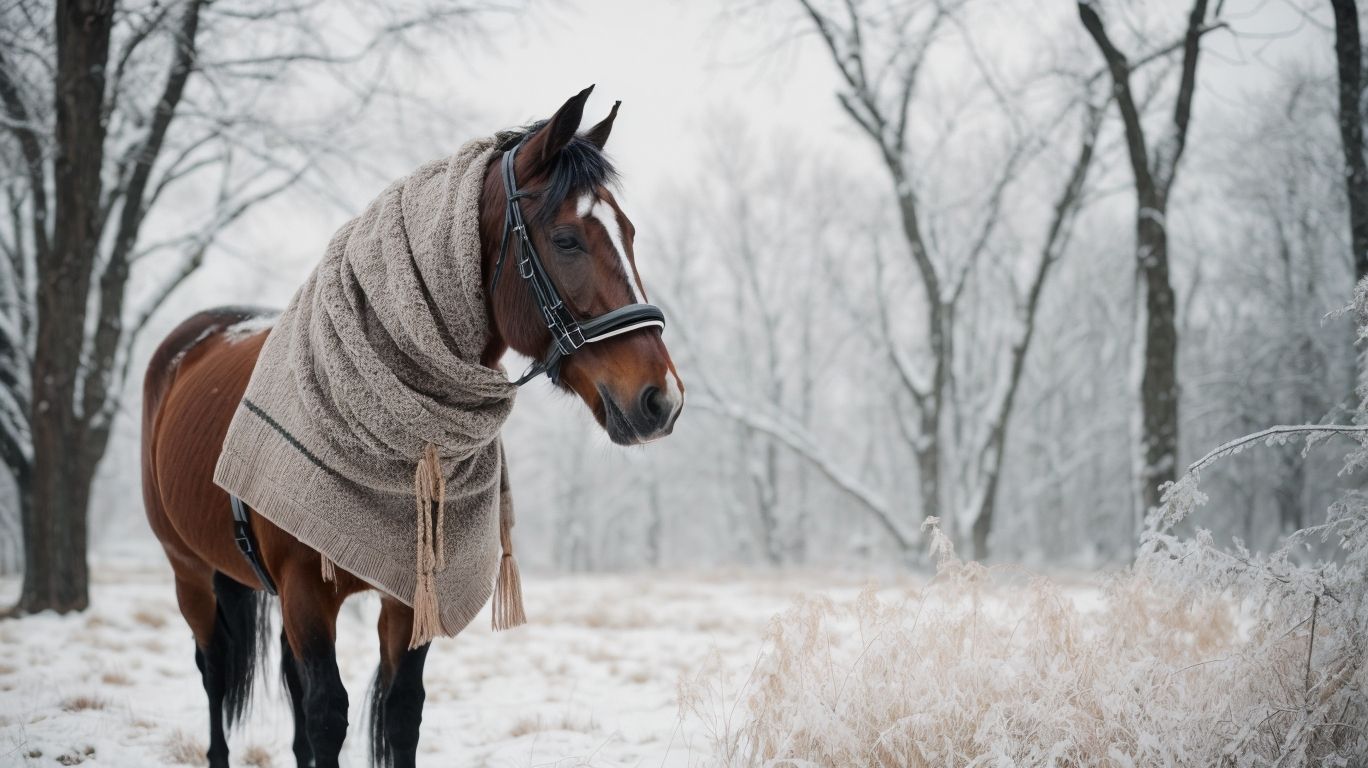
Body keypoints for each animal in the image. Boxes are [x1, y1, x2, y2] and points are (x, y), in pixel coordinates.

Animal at [140, 86, 683, 768]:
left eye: (628, 233)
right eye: (566, 240)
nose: (661, 400)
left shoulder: (408, 591)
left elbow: (400, 712)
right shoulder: (303, 590)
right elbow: (327, 715)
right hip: (187, 569)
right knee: (213, 669)